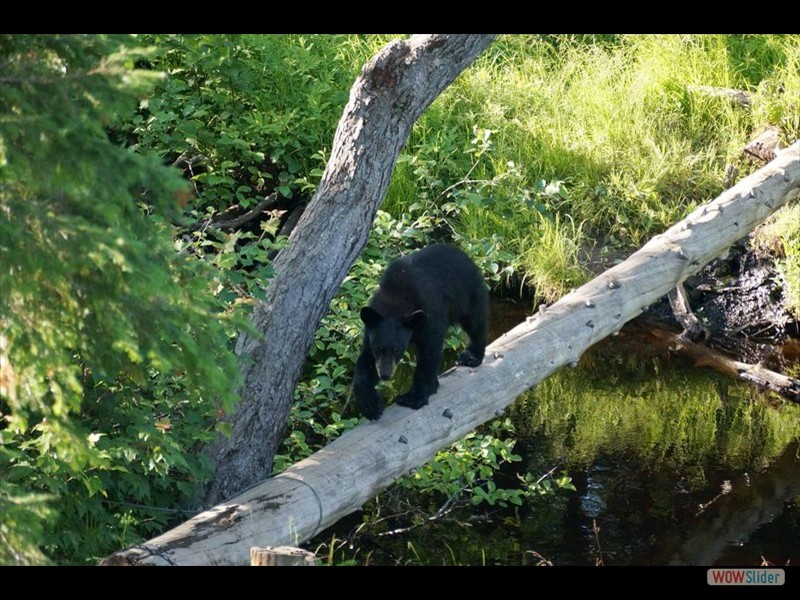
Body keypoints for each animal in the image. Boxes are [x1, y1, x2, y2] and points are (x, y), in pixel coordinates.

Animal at [354, 241, 488, 420]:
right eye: (378, 348)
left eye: (398, 350)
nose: (385, 375)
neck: (395, 299)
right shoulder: (371, 330)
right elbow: (365, 359)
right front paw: (369, 403)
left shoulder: (429, 315)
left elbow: (429, 352)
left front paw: (414, 397)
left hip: (468, 294)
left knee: (476, 324)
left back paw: (472, 356)